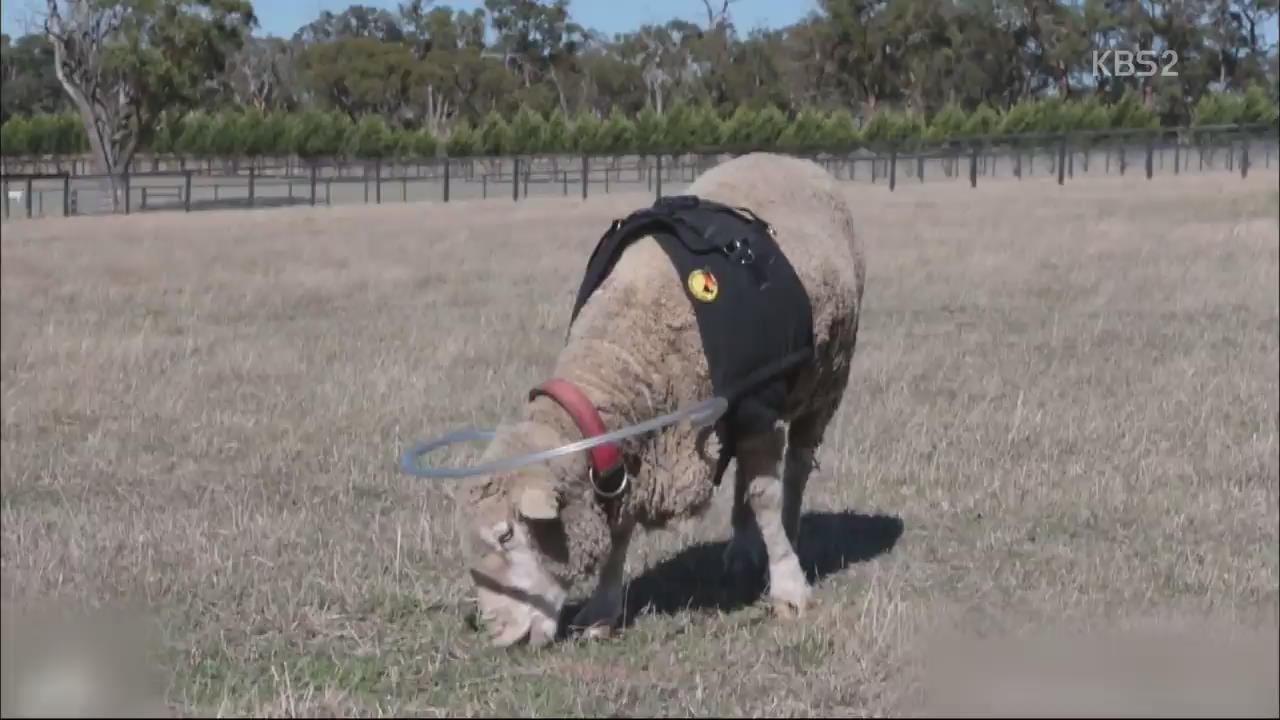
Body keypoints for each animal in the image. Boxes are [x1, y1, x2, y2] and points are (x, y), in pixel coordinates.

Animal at [455, 149, 865, 645]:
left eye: (506, 536)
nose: (498, 636)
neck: (629, 350)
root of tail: (788, 158)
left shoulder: (756, 406)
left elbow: (764, 496)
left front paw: (789, 589)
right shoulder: (633, 450)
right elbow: (621, 528)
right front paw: (601, 611)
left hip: (825, 380)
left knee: (797, 468)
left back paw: (787, 533)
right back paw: (742, 548)